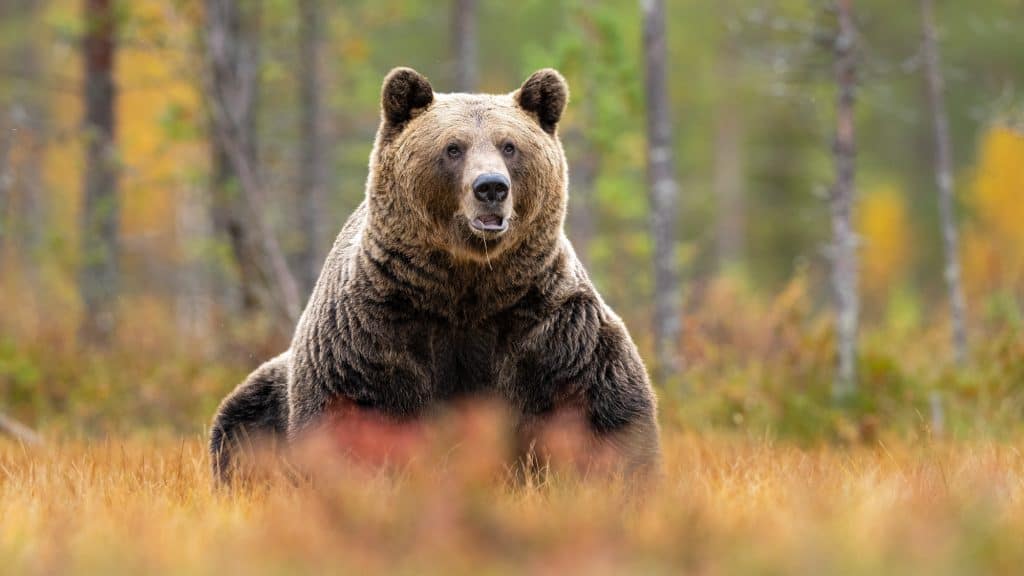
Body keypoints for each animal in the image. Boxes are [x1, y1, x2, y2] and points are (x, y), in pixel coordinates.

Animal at [209, 67, 660, 485]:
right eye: (453, 147)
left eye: (509, 146)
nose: (491, 187)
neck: (465, 286)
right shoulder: (374, 332)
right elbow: (353, 416)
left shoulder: (547, 326)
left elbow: (599, 408)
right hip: (268, 392)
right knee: (240, 424)